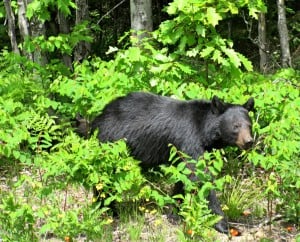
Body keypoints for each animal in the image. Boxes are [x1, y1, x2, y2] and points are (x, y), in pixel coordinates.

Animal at [91, 91, 253, 233]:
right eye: (236, 126)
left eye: (249, 125)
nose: (249, 141)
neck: (204, 130)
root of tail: (99, 117)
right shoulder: (189, 139)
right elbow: (199, 176)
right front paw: (225, 225)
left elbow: (183, 177)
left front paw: (175, 212)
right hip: (111, 144)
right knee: (104, 177)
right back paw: (106, 208)